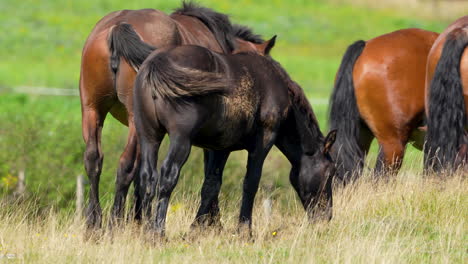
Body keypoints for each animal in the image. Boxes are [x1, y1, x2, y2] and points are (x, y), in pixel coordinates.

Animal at [78, 2, 266, 229]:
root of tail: (117, 27)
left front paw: (139, 218)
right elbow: (211, 176)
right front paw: (211, 221)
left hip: (92, 110)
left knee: (94, 160)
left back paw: (94, 223)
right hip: (134, 120)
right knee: (125, 166)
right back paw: (115, 222)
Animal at [133, 43, 338, 237]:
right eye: (330, 172)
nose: (327, 216)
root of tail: (157, 62)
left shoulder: (219, 148)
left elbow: (211, 185)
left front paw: (195, 229)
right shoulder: (263, 141)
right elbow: (251, 183)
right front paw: (245, 231)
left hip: (149, 136)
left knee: (147, 178)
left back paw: (147, 230)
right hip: (180, 139)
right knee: (168, 176)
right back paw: (158, 232)